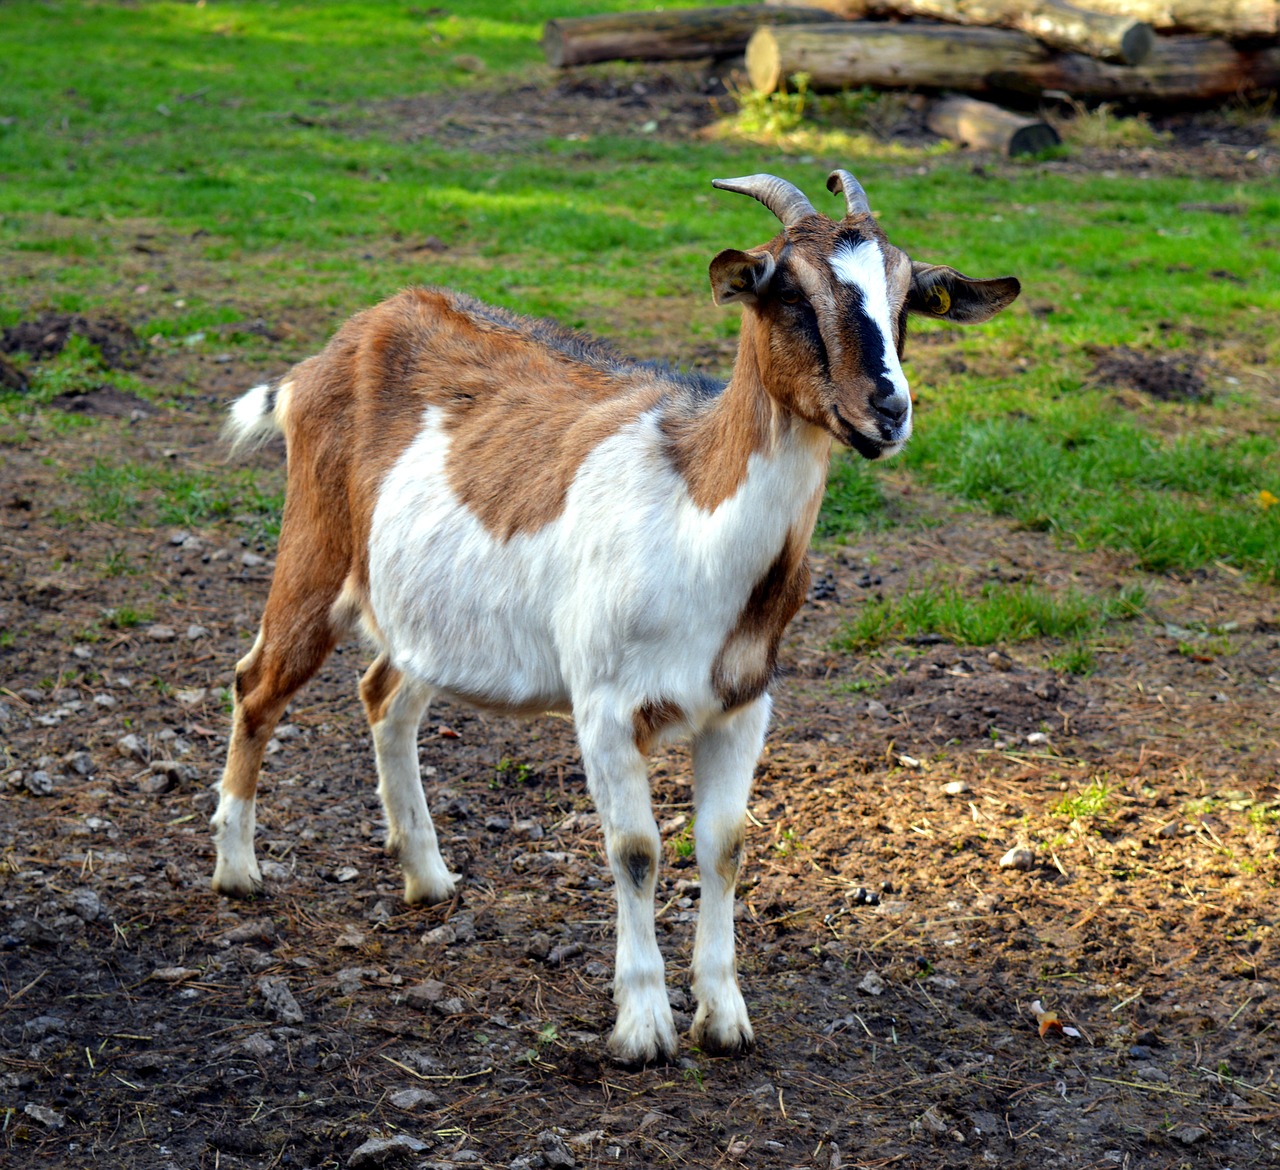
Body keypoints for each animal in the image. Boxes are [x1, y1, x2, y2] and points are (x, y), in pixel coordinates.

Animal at [217, 168, 1018, 1065]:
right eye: (790, 293)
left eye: (909, 297)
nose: (887, 409)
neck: (696, 523)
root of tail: (335, 347)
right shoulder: (603, 705)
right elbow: (635, 853)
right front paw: (641, 1027)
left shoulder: (743, 705)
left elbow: (724, 847)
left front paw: (723, 1017)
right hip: (316, 547)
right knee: (258, 683)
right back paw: (237, 869)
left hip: (429, 612)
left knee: (384, 695)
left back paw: (426, 875)